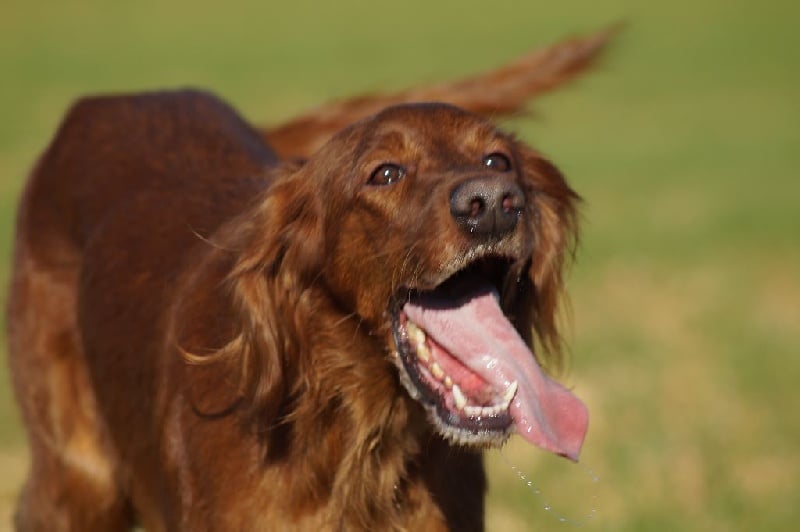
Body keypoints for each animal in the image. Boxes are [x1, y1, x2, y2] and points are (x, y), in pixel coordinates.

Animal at [7, 29, 611, 531]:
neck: (355, 442)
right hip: (77, 483)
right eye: (385, 173)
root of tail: (107, 101)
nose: (492, 204)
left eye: (498, 161)